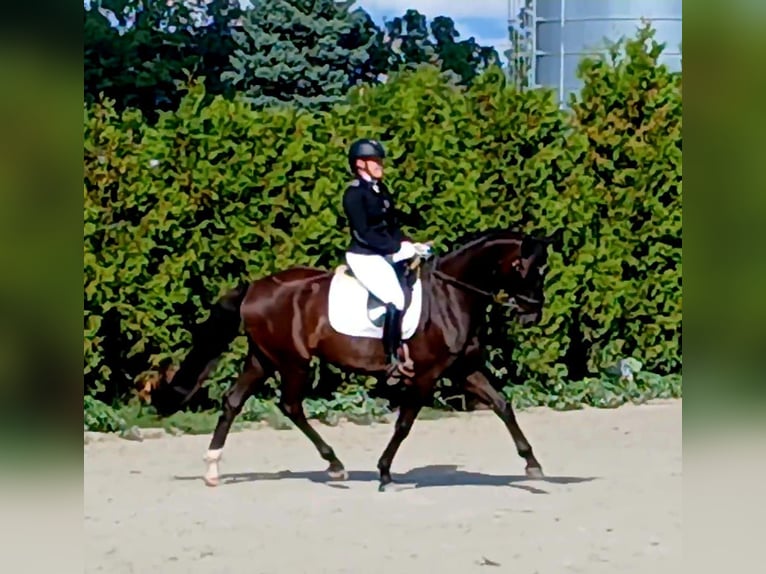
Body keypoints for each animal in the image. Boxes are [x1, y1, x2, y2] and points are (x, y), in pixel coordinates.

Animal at [153, 227, 556, 491]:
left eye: (544, 269)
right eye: (521, 267)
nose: (531, 314)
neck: (450, 296)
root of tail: (254, 287)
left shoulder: (464, 369)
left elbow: (502, 405)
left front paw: (533, 464)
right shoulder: (427, 375)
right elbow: (404, 424)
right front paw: (385, 473)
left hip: (262, 358)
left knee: (234, 401)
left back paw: (213, 471)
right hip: (293, 362)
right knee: (290, 406)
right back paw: (334, 466)